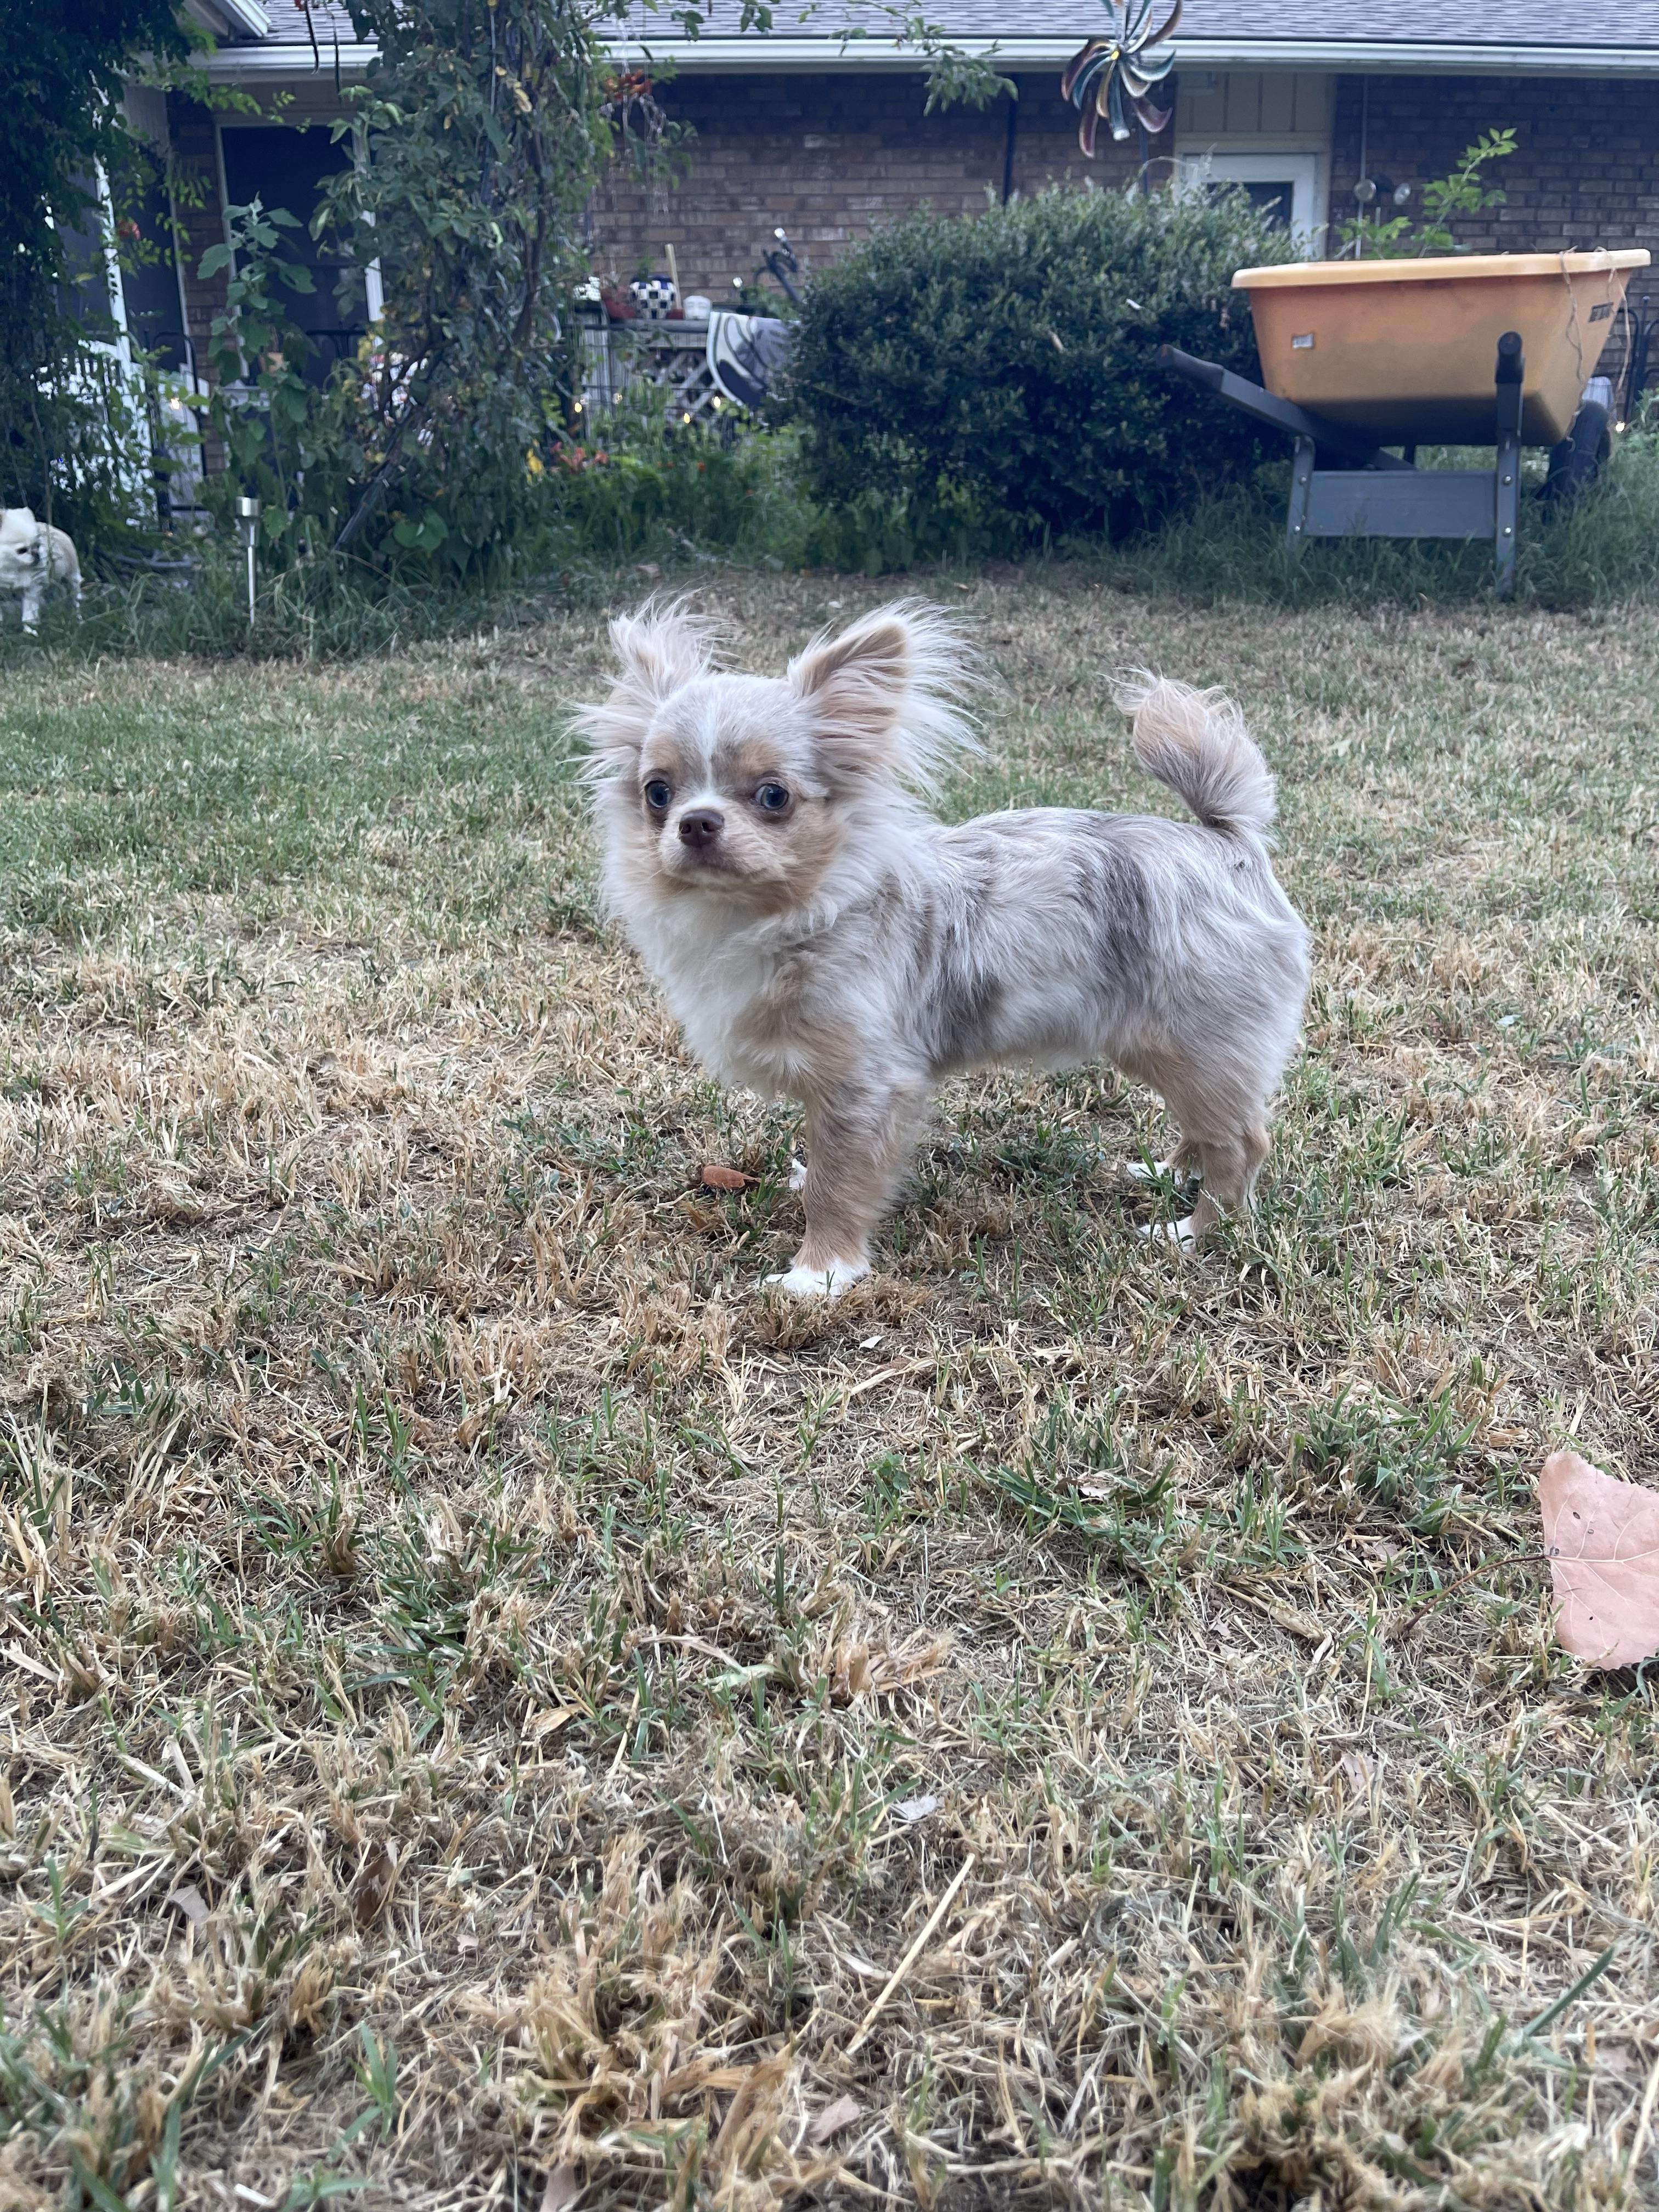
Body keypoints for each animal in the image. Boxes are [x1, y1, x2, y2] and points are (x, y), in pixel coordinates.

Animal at [0, 507, 82, 632]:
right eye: (22, 550)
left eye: (38, 546)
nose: (36, 555)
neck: (12, 568)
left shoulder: (32, 587)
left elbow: (29, 616)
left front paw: (30, 633)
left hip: (71, 578)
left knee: (75, 600)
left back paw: (78, 620)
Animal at [579, 599, 1309, 1297]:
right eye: (657, 793)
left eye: (773, 796)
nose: (696, 822)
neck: (783, 917)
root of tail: (1227, 842)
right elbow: (829, 1162)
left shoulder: (866, 1084)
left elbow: (838, 1187)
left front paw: (818, 1276)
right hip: (1171, 1051)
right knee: (1209, 1129)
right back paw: (1165, 1171)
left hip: (1194, 1047)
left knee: (1243, 1143)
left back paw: (1194, 1230)